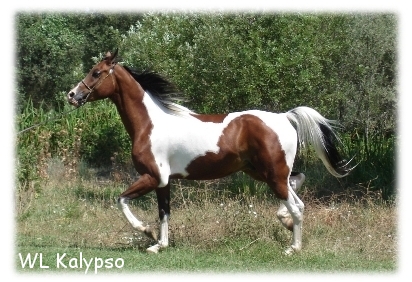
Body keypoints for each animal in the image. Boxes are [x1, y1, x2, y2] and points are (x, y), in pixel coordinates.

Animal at [66, 49, 352, 254]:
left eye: (96, 72)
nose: (72, 95)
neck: (150, 124)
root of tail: (284, 117)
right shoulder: (163, 182)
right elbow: (164, 212)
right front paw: (159, 245)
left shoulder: (152, 177)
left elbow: (121, 200)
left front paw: (146, 232)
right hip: (263, 172)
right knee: (297, 189)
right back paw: (286, 224)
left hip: (273, 175)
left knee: (296, 206)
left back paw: (293, 248)